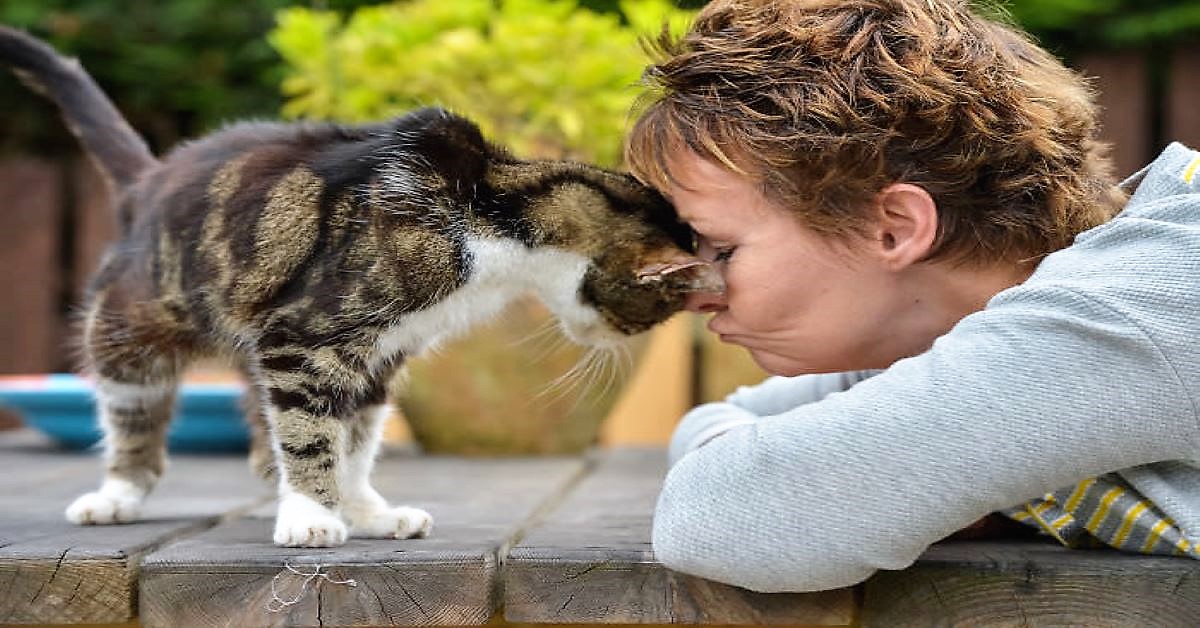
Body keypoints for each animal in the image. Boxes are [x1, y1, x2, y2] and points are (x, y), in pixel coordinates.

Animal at [2, 24, 720, 545]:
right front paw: (313, 517)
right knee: (135, 418)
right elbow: (312, 433)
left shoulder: (379, 356)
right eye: (650, 312)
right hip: (130, 331)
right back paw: (116, 496)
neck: (492, 208)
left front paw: (363, 511)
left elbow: (354, 443)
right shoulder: (304, 340)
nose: (614, 341)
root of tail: (149, 180)